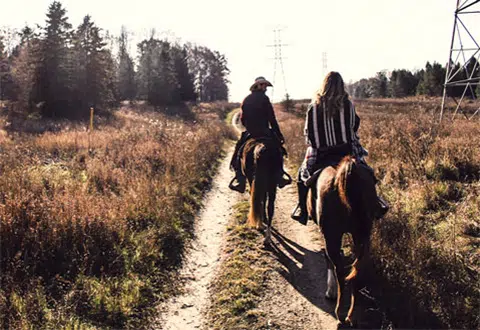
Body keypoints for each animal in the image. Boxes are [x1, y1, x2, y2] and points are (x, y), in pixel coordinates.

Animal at [308, 155, 378, 328]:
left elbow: (328, 258)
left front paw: (330, 292)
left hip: (332, 236)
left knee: (339, 270)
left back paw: (340, 313)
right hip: (362, 235)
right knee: (357, 270)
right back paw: (351, 316)